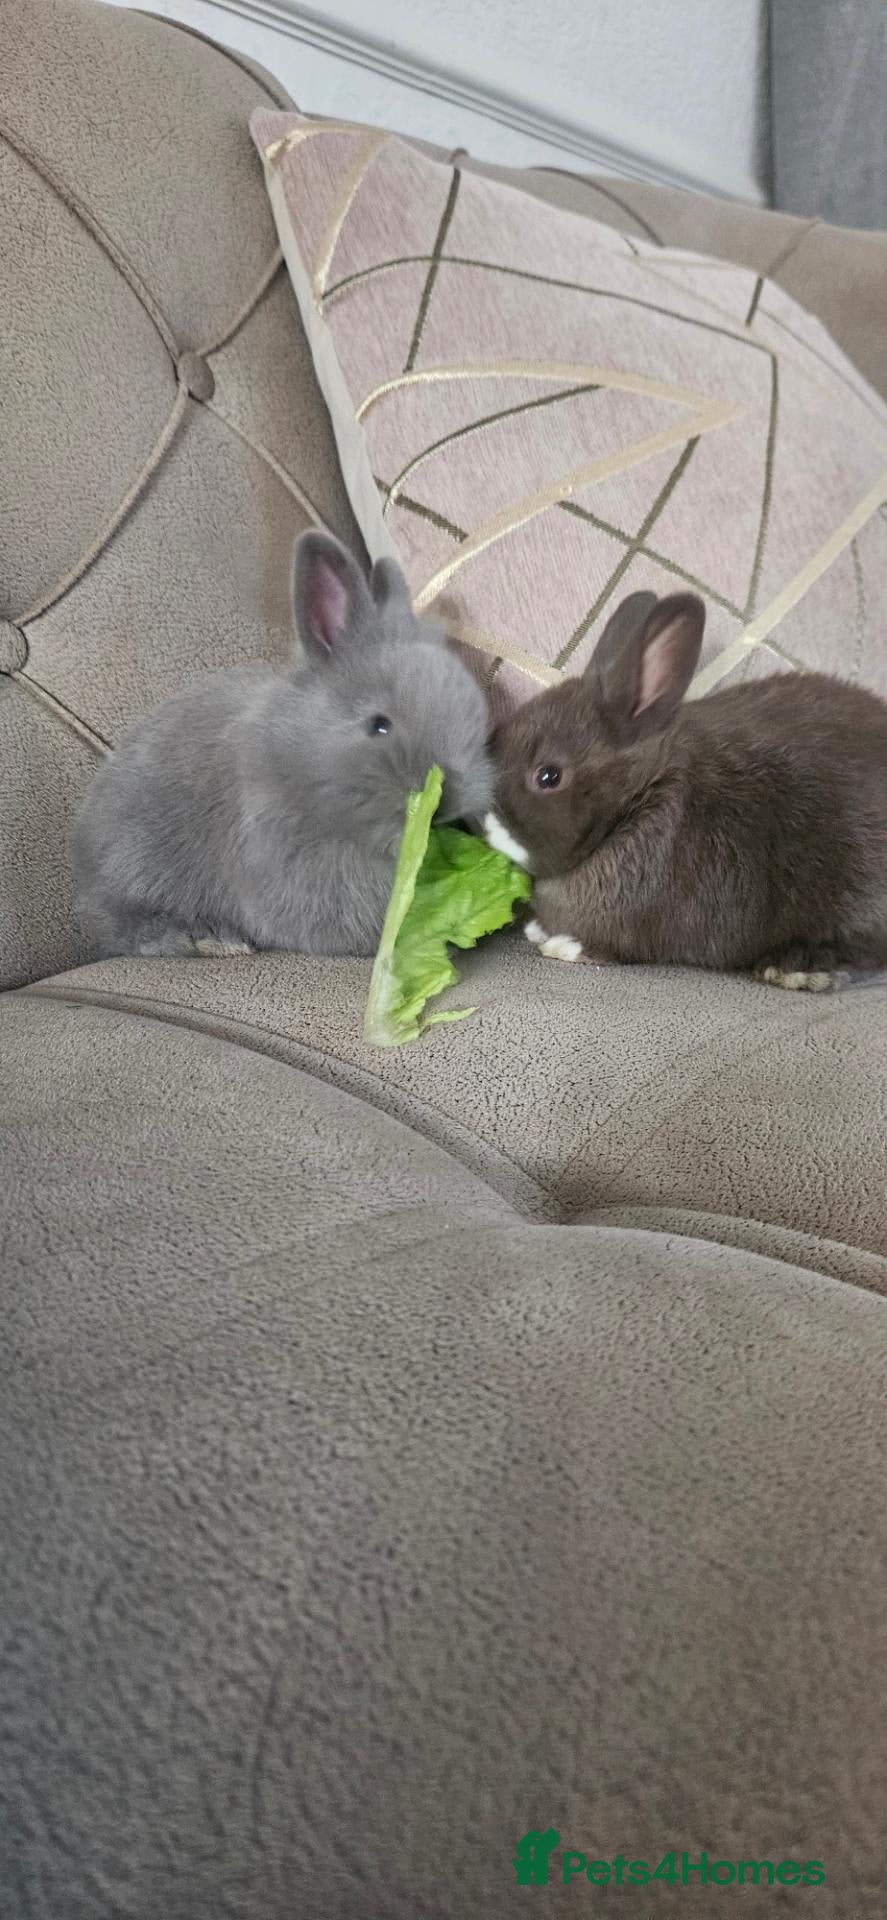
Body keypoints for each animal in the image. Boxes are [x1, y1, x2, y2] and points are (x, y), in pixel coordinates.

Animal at [485, 589, 887, 991]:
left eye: (548, 776)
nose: (484, 821)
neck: (639, 797)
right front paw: (538, 930)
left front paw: (560, 946)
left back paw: (796, 967)